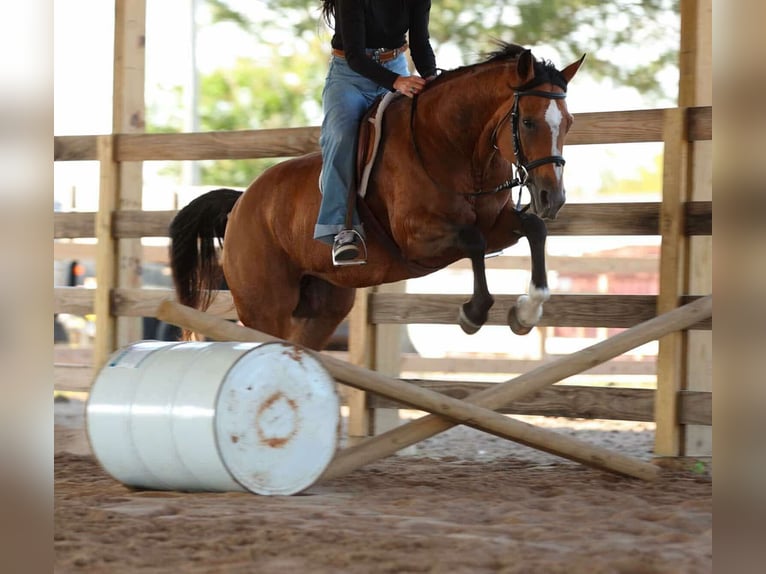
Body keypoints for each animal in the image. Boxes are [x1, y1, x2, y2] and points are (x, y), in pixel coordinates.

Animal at [169, 42, 585, 350]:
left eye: (567, 123)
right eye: (527, 122)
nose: (552, 197)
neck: (453, 147)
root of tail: (241, 203)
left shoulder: (498, 225)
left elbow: (533, 229)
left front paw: (526, 313)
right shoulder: (418, 239)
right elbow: (474, 241)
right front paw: (473, 313)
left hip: (322, 309)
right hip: (264, 308)